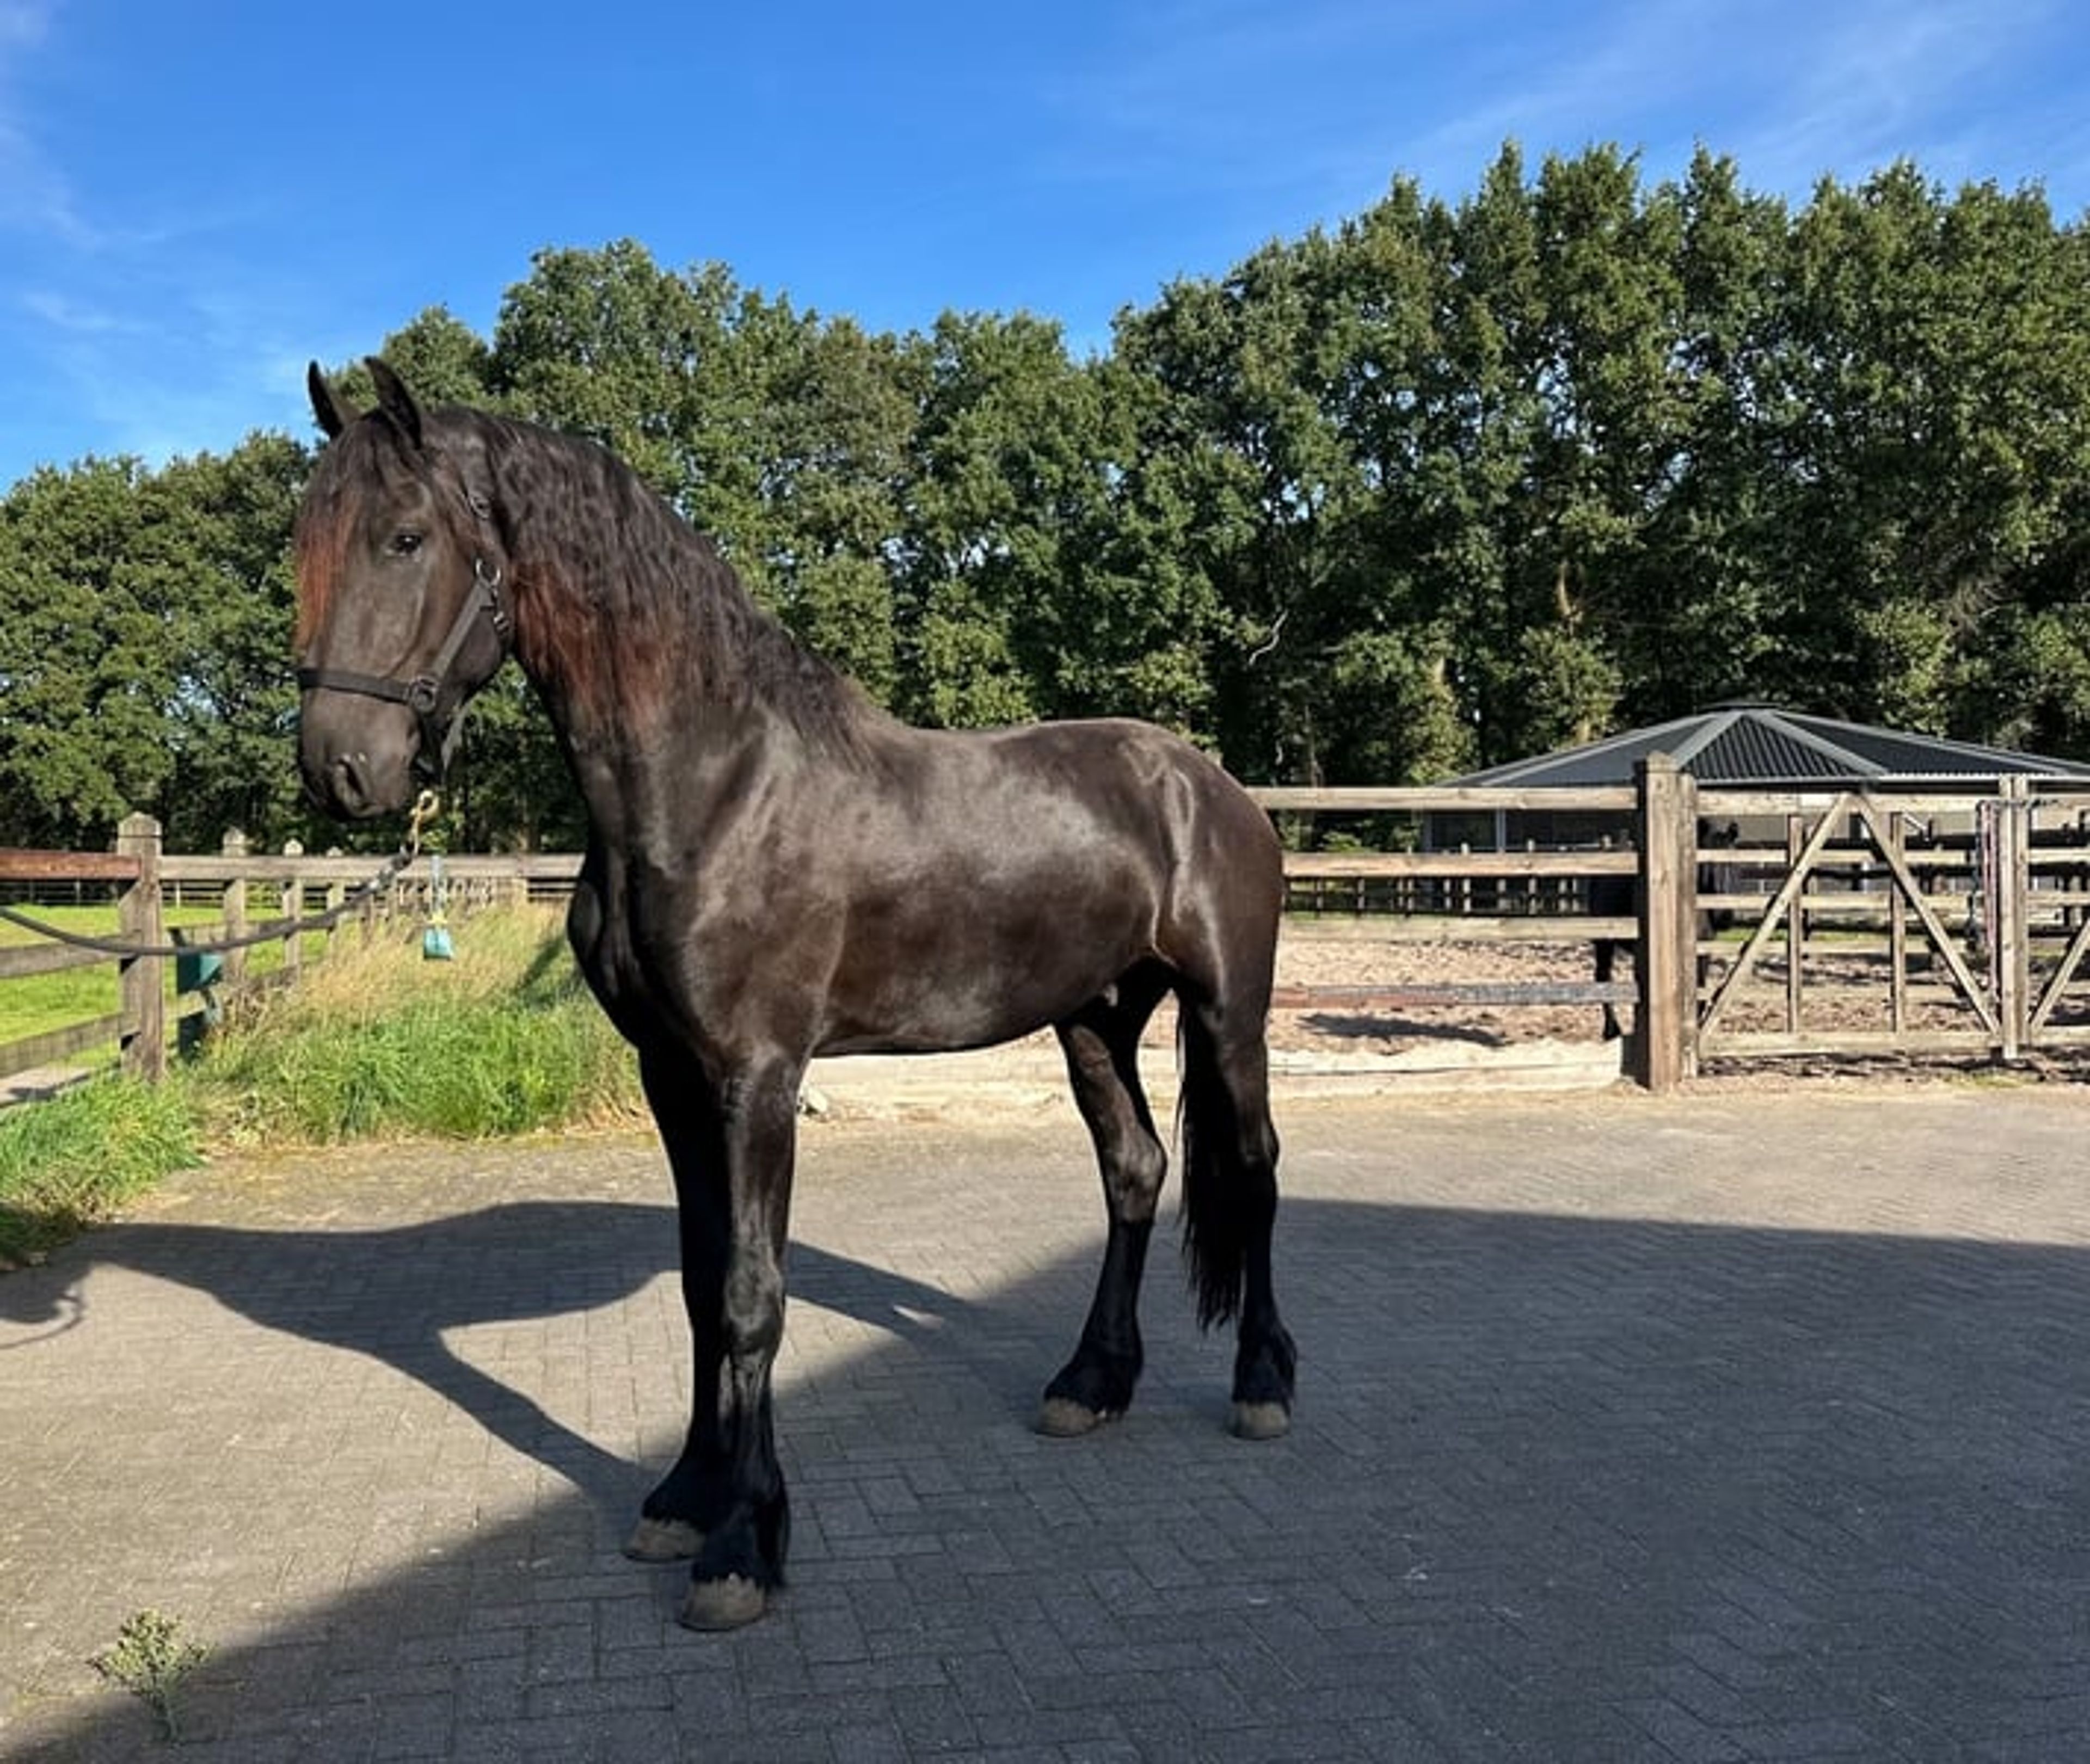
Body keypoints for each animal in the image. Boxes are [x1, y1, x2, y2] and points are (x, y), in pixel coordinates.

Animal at [292, 359, 1297, 1631]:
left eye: (406, 537)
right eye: (307, 540)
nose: (340, 766)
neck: (718, 782)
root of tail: (1206, 783)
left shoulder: (758, 1077)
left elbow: (751, 1294)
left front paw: (741, 1546)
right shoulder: (674, 1077)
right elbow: (697, 1284)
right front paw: (682, 1498)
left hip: (1228, 1016)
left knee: (1253, 1174)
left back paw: (1262, 1384)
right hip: (1091, 1022)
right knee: (1135, 1172)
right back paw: (1090, 1382)